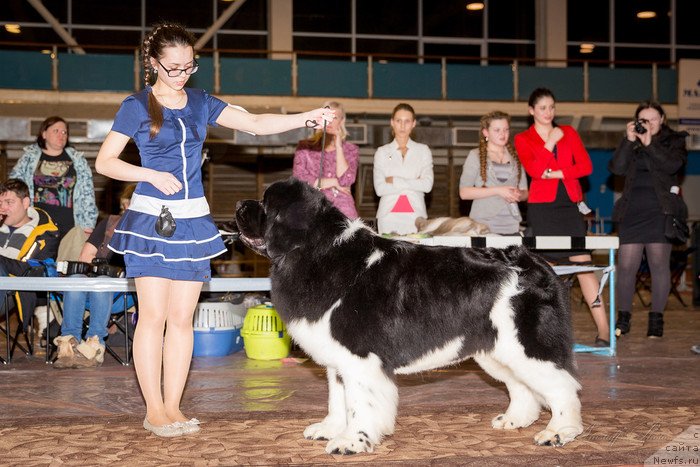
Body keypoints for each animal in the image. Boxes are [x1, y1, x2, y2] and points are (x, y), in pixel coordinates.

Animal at [232, 179, 584, 458]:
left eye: (266, 204)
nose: (238, 204)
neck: (316, 250)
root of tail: (529, 259)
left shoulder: (360, 358)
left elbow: (358, 402)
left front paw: (351, 442)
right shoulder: (339, 360)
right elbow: (337, 399)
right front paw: (330, 429)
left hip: (525, 344)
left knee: (563, 387)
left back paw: (559, 432)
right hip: (497, 349)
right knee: (523, 386)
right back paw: (515, 420)